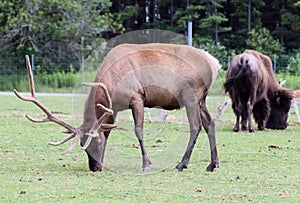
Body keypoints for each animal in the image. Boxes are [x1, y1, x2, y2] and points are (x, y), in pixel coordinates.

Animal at [14, 43, 220, 173]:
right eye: (82, 144)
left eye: (96, 142)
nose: (94, 168)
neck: (112, 83)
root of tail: (215, 63)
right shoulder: (115, 108)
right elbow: (110, 130)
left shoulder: (137, 96)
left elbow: (138, 130)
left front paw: (146, 164)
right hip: (202, 98)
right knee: (210, 123)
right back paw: (213, 164)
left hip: (191, 93)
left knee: (195, 126)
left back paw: (181, 164)